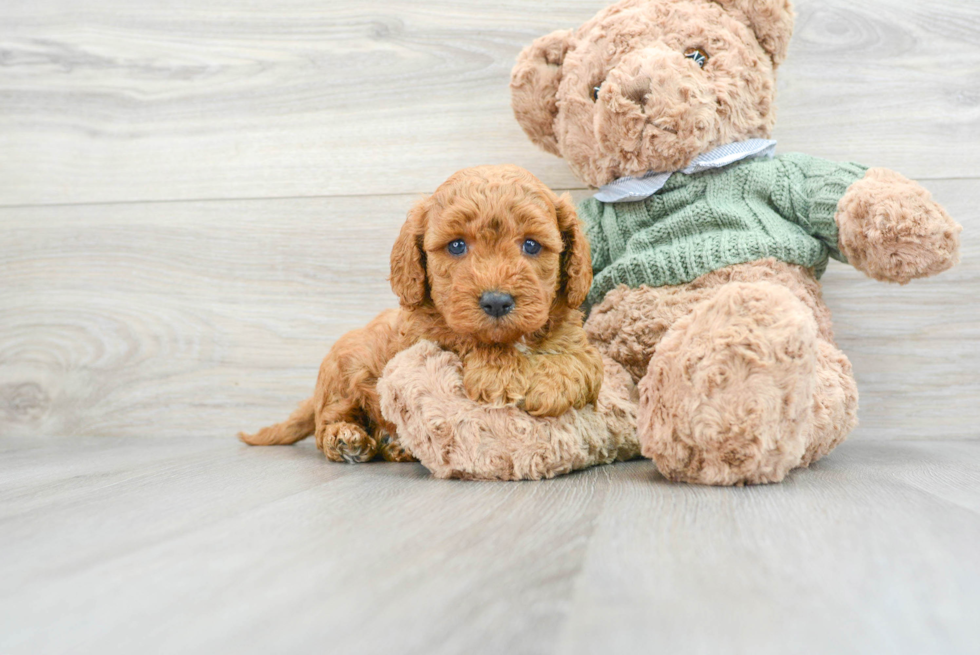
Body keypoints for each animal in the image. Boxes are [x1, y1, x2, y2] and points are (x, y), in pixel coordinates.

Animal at [239, 165, 604, 462]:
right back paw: (346, 439)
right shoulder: (425, 336)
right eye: (456, 245)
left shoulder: (572, 333)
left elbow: (583, 362)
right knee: (326, 422)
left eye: (531, 245)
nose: (497, 302)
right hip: (343, 372)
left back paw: (395, 445)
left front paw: (552, 385)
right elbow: (464, 338)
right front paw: (498, 373)